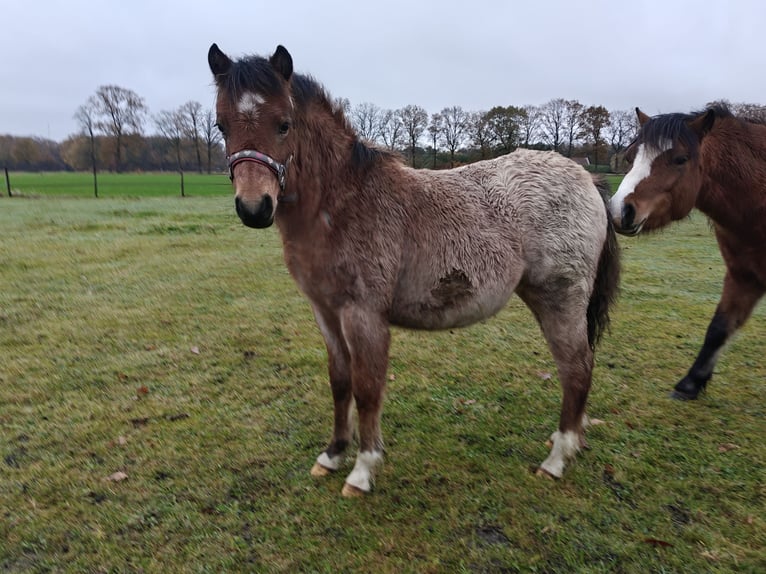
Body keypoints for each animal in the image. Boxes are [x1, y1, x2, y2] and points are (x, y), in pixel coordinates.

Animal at [208, 43, 620, 496]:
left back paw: (557, 459)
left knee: (576, 369)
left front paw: (362, 470)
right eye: (221, 125)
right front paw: (332, 455)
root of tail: (587, 178)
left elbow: (368, 388)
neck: (342, 203)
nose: (254, 208)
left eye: (284, 124)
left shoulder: (363, 314)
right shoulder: (325, 311)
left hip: (560, 299)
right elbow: (340, 381)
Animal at [609, 106, 766, 400]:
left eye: (680, 159)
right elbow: (719, 327)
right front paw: (691, 383)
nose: (619, 211)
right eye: (630, 156)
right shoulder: (743, 276)